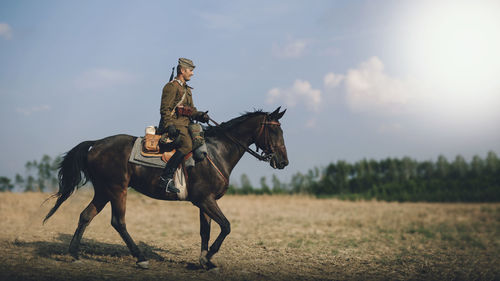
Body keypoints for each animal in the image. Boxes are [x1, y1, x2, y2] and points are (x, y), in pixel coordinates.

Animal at [43, 106, 290, 270]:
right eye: (274, 131)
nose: (283, 162)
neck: (216, 152)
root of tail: (96, 144)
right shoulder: (205, 200)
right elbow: (226, 226)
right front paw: (209, 257)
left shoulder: (206, 202)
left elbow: (206, 230)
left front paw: (205, 261)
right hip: (117, 190)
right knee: (118, 222)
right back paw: (140, 257)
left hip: (104, 191)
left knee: (86, 216)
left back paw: (75, 254)